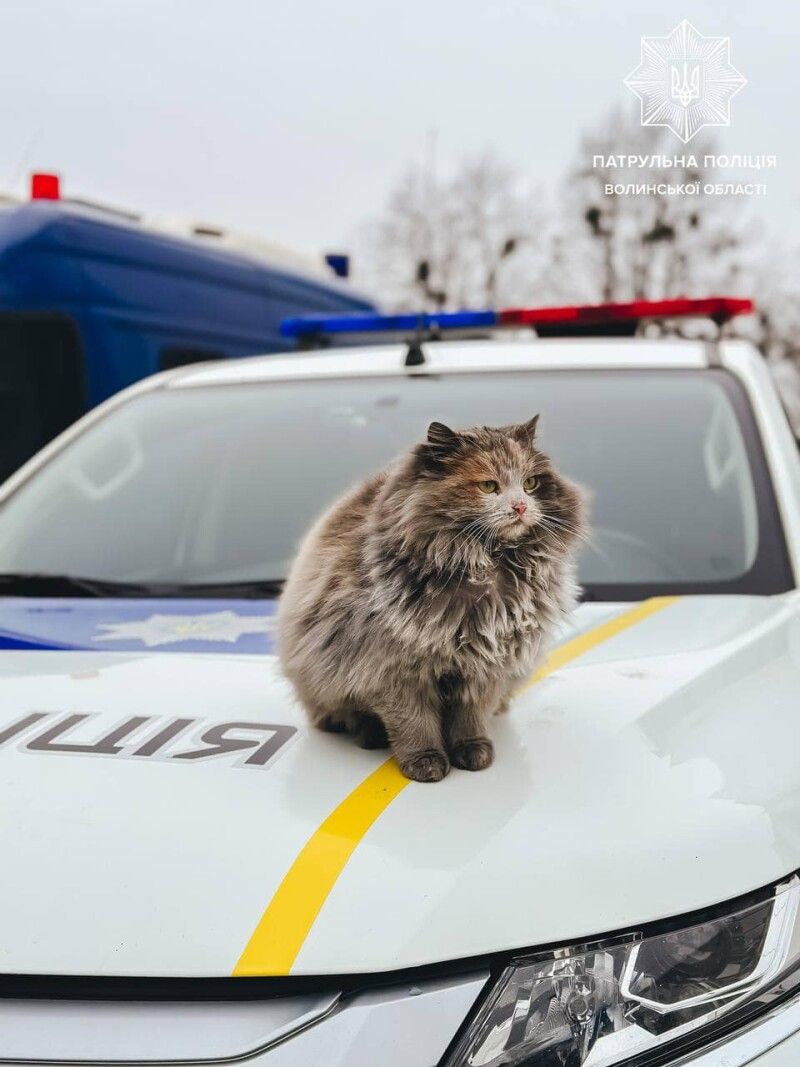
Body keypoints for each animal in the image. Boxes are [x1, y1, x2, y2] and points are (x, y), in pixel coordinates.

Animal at [279, 418, 588, 785]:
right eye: (488, 486)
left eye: (530, 484)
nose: (521, 507)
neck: (486, 568)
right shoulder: (394, 671)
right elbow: (415, 724)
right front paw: (425, 763)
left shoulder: (486, 666)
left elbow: (470, 718)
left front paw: (473, 752)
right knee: (343, 716)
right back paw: (370, 735)